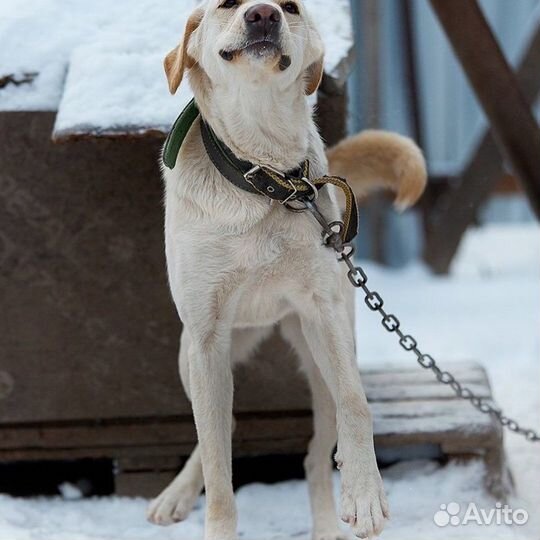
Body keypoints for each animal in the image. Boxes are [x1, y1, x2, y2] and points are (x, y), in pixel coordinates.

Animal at [147, 2, 426, 536]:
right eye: (226, 5)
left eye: (290, 7)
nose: (263, 14)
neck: (264, 177)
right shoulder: (206, 337)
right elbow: (218, 475)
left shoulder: (323, 313)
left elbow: (357, 404)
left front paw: (366, 494)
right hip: (191, 356)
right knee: (218, 433)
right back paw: (177, 494)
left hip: (317, 355)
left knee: (316, 457)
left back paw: (328, 522)